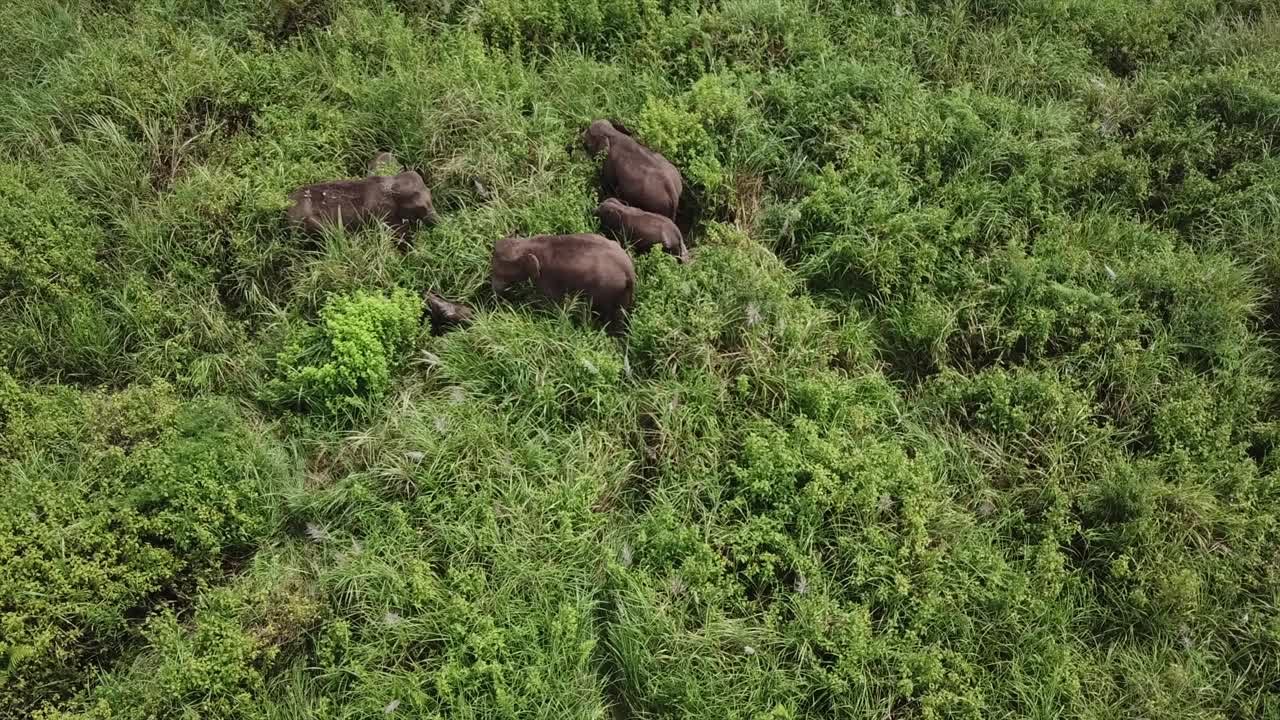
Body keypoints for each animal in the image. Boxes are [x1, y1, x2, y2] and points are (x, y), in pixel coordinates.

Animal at [488, 233, 634, 327]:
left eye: (499, 272)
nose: (495, 298)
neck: (526, 244)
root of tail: (629, 270)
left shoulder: (547, 279)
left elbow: (552, 305)